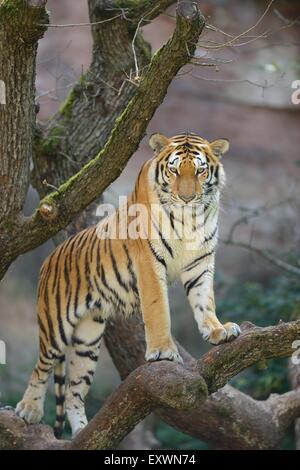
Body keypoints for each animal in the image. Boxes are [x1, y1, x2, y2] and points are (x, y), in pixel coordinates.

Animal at [15, 131, 241, 436]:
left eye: (200, 170)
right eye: (174, 170)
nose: (186, 198)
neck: (188, 219)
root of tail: (50, 257)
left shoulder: (201, 261)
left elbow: (205, 301)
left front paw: (218, 331)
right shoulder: (149, 261)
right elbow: (158, 310)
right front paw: (163, 351)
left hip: (87, 341)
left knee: (74, 391)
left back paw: (83, 432)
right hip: (56, 326)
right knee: (41, 367)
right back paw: (29, 409)